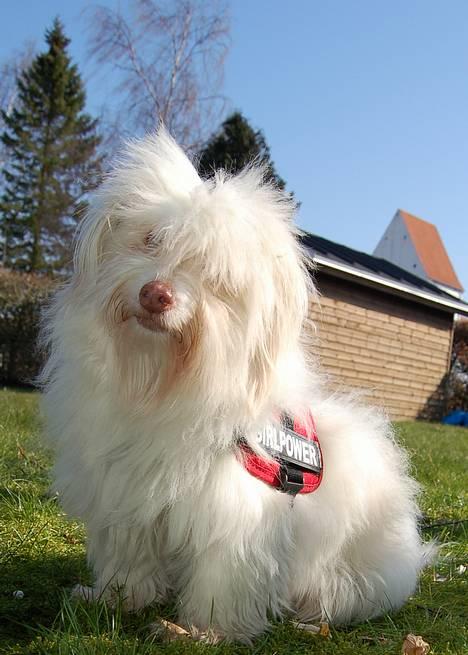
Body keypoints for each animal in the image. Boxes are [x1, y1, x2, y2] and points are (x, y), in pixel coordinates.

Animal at [41, 128, 432, 640]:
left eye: (217, 275)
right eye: (151, 240)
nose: (156, 293)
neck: (161, 380)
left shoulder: (235, 516)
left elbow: (220, 578)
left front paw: (201, 631)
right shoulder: (125, 497)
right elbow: (131, 559)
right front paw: (117, 599)